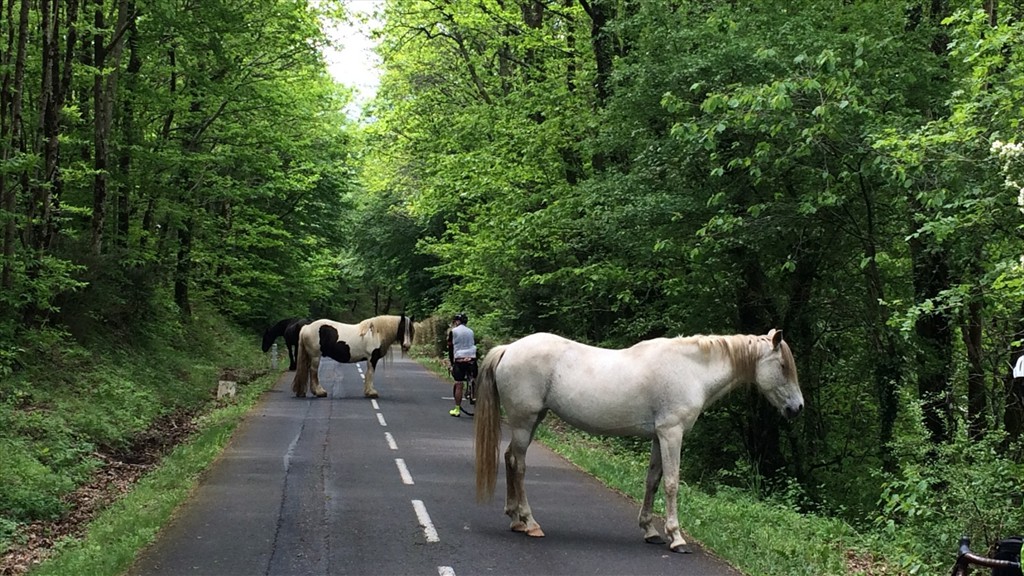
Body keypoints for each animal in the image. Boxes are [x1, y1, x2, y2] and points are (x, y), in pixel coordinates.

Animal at [475, 327, 802, 553]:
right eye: (783, 366)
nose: (797, 408)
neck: (691, 371)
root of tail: (508, 349)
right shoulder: (672, 433)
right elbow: (671, 483)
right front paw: (676, 537)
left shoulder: (660, 436)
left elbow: (653, 480)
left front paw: (651, 531)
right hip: (524, 421)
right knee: (519, 465)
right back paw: (530, 522)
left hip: (533, 420)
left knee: (510, 459)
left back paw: (515, 519)